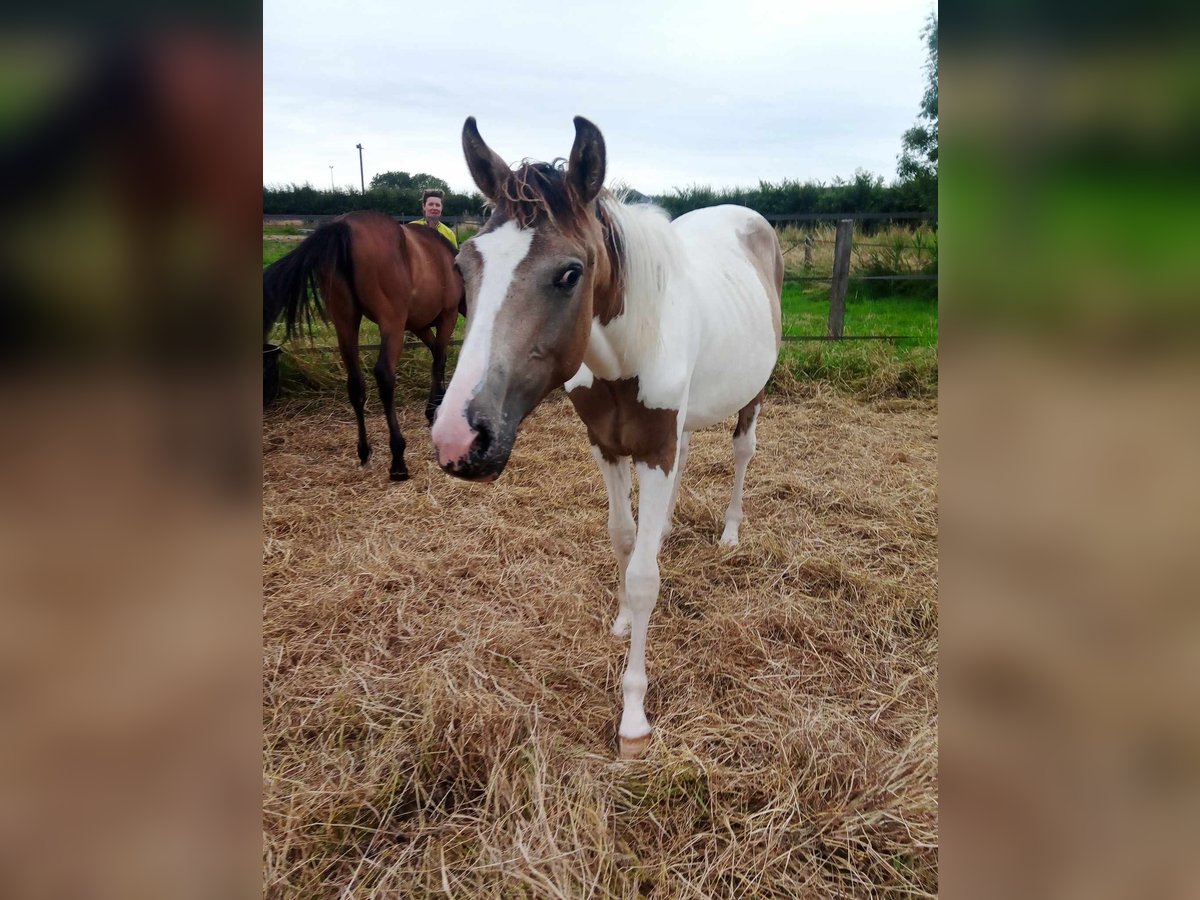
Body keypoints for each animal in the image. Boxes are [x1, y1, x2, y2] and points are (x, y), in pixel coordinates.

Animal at [262, 212, 463, 482]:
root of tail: (343, 227)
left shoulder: (418, 325)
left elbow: (435, 357)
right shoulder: (445, 318)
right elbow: (439, 360)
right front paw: (434, 408)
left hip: (346, 323)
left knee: (355, 383)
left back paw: (364, 451)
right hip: (391, 323)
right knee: (384, 375)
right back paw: (398, 460)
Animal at [432, 116, 787, 758]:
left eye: (569, 273)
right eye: (463, 266)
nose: (457, 439)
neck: (630, 349)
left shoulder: (653, 449)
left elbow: (645, 578)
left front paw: (634, 720)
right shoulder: (608, 446)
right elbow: (623, 540)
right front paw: (622, 617)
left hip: (750, 395)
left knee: (742, 452)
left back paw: (729, 533)